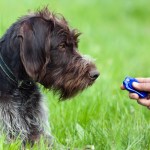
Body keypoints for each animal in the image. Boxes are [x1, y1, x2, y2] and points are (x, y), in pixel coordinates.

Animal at [0, 7, 99, 147]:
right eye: (62, 45)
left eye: (75, 44)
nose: (95, 74)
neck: (20, 88)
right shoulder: (10, 136)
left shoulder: (39, 134)